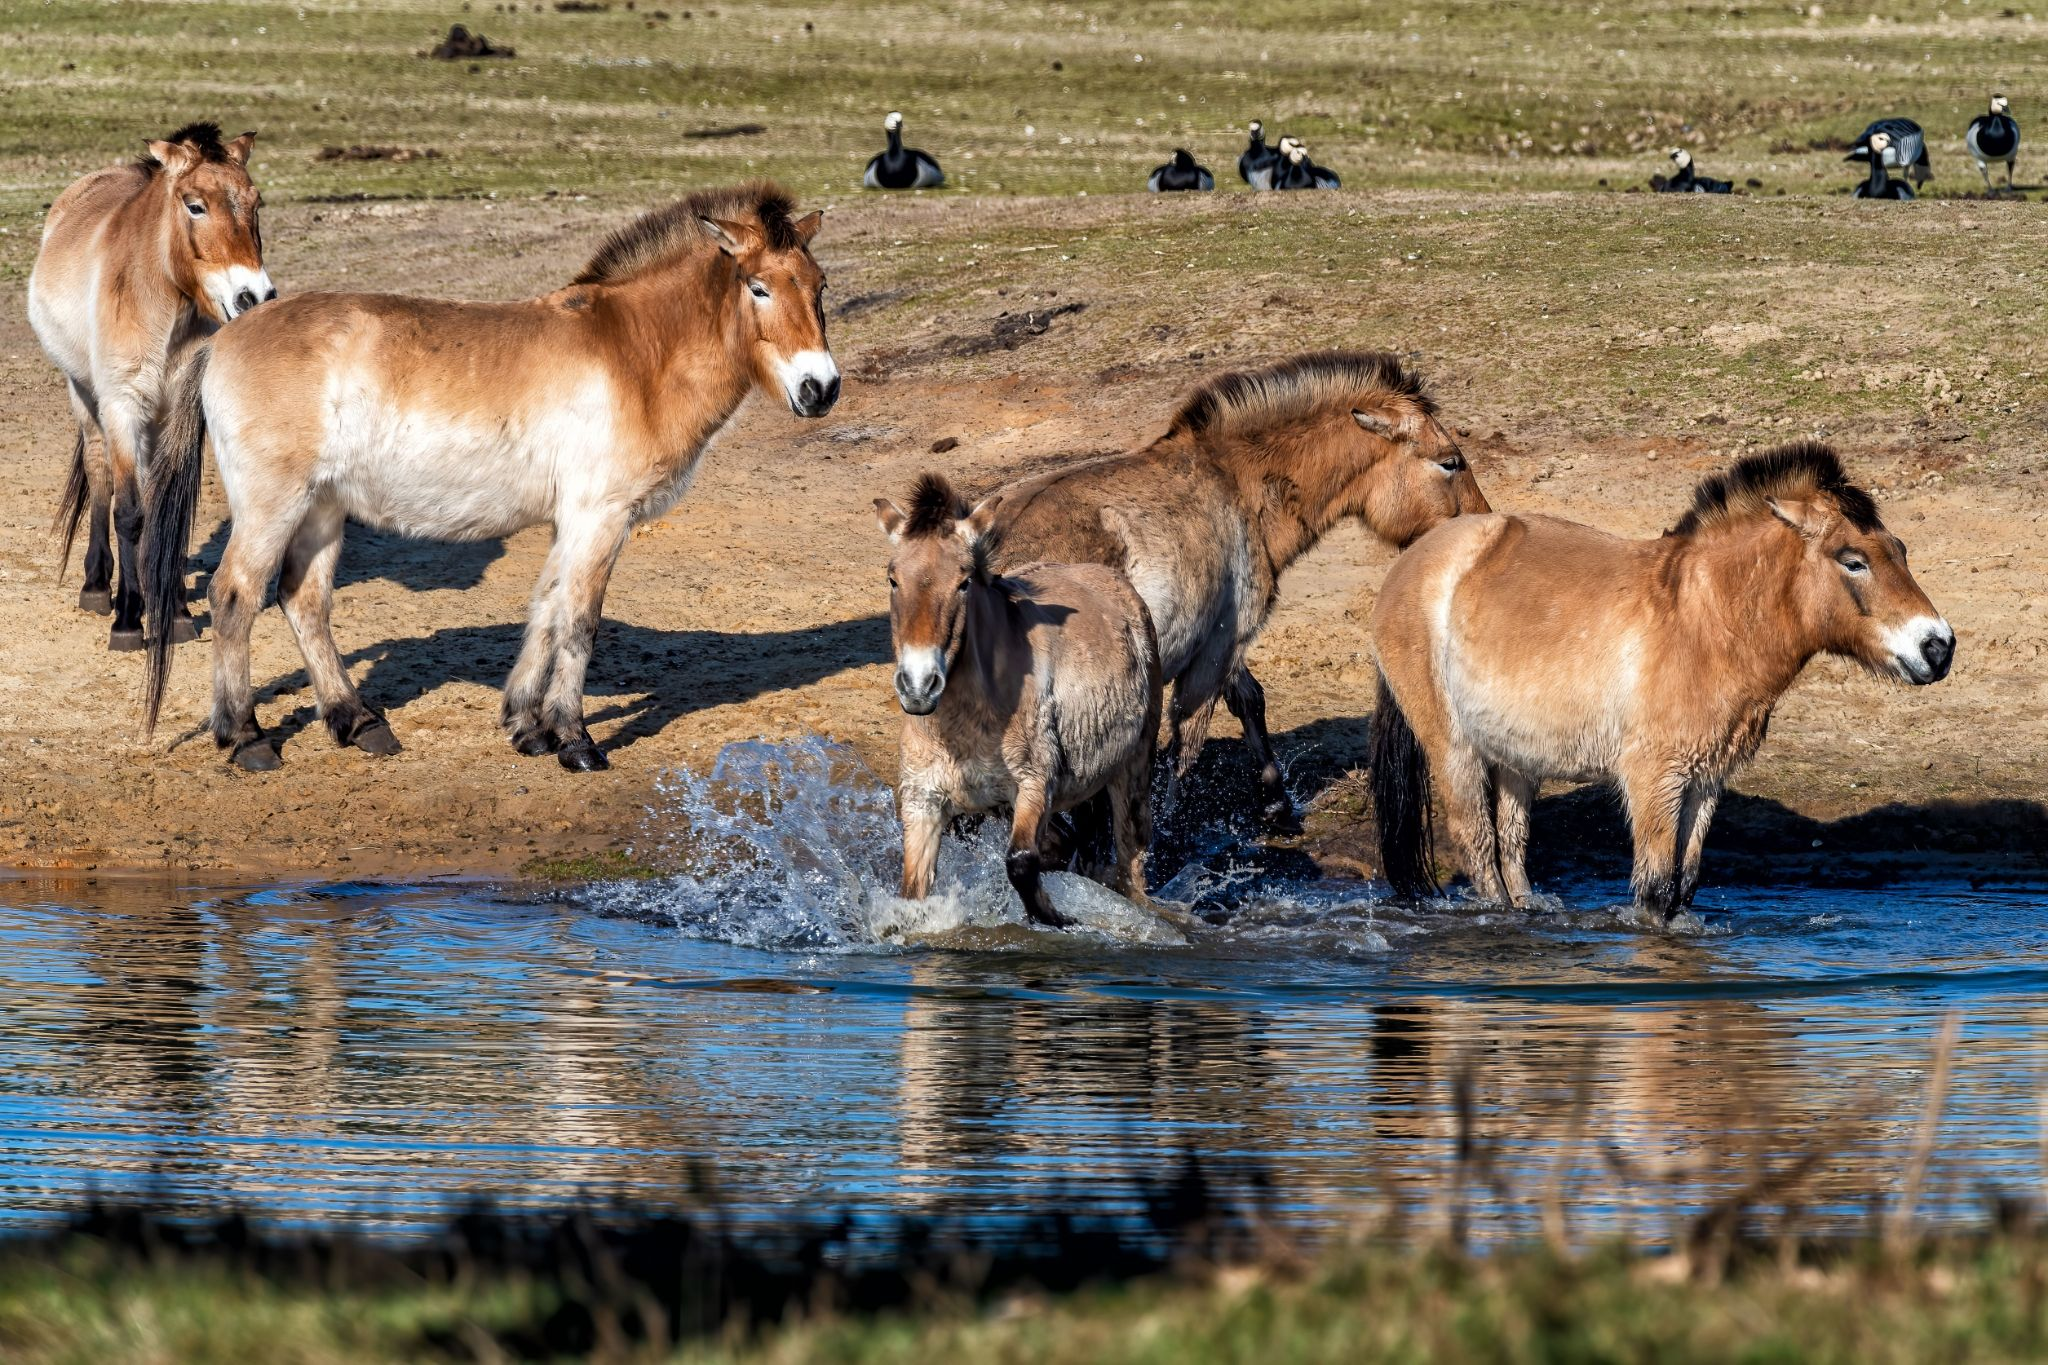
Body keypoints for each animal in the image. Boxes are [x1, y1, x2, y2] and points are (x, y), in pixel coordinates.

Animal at [28, 122, 274, 650]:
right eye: (195, 205)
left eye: (256, 202)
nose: (254, 296)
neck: (161, 304)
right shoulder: (122, 407)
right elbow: (130, 513)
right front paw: (127, 619)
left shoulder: (179, 411)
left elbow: (168, 512)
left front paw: (175, 613)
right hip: (85, 397)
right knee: (101, 476)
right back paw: (99, 586)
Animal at [142, 184, 839, 769]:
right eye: (758, 287)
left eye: (819, 285)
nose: (821, 388)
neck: (636, 354)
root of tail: (224, 337)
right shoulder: (601, 517)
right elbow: (580, 622)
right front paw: (576, 741)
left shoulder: (573, 521)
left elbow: (547, 608)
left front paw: (528, 727)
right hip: (272, 506)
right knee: (234, 596)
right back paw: (246, 738)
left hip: (322, 509)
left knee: (304, 600)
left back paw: (357, 722)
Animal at [876, 472, 1171, 929]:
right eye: (893, 579)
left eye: (963, 582)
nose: (919, 685)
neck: (964, 724)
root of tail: (1121, 587)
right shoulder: (923, 803)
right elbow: (912, 896)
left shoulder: (1033, 787)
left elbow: (1020, 862)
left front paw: (1062, 920)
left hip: (1133, 770)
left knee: (1131, 861)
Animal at [987, 351, 1490, 822]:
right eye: (1450, 462)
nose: (1483, 529)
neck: (1239, 483)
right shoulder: (1215, 650)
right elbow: (1184, 752)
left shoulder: (1227, 644)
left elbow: (1249, 701)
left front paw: (1275, 799)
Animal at [1368, 444, 1957, 925]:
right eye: (1853, 561)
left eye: (1900, 550)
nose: (1938, 646)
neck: (1705, 624)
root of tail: (1412, 561)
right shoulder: (1655, 780)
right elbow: (1653, 893)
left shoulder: (1705, 780)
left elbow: (1684, 886)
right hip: (1454, 749)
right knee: (1478, 846)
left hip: (1515, 760)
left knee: (1510, 847)